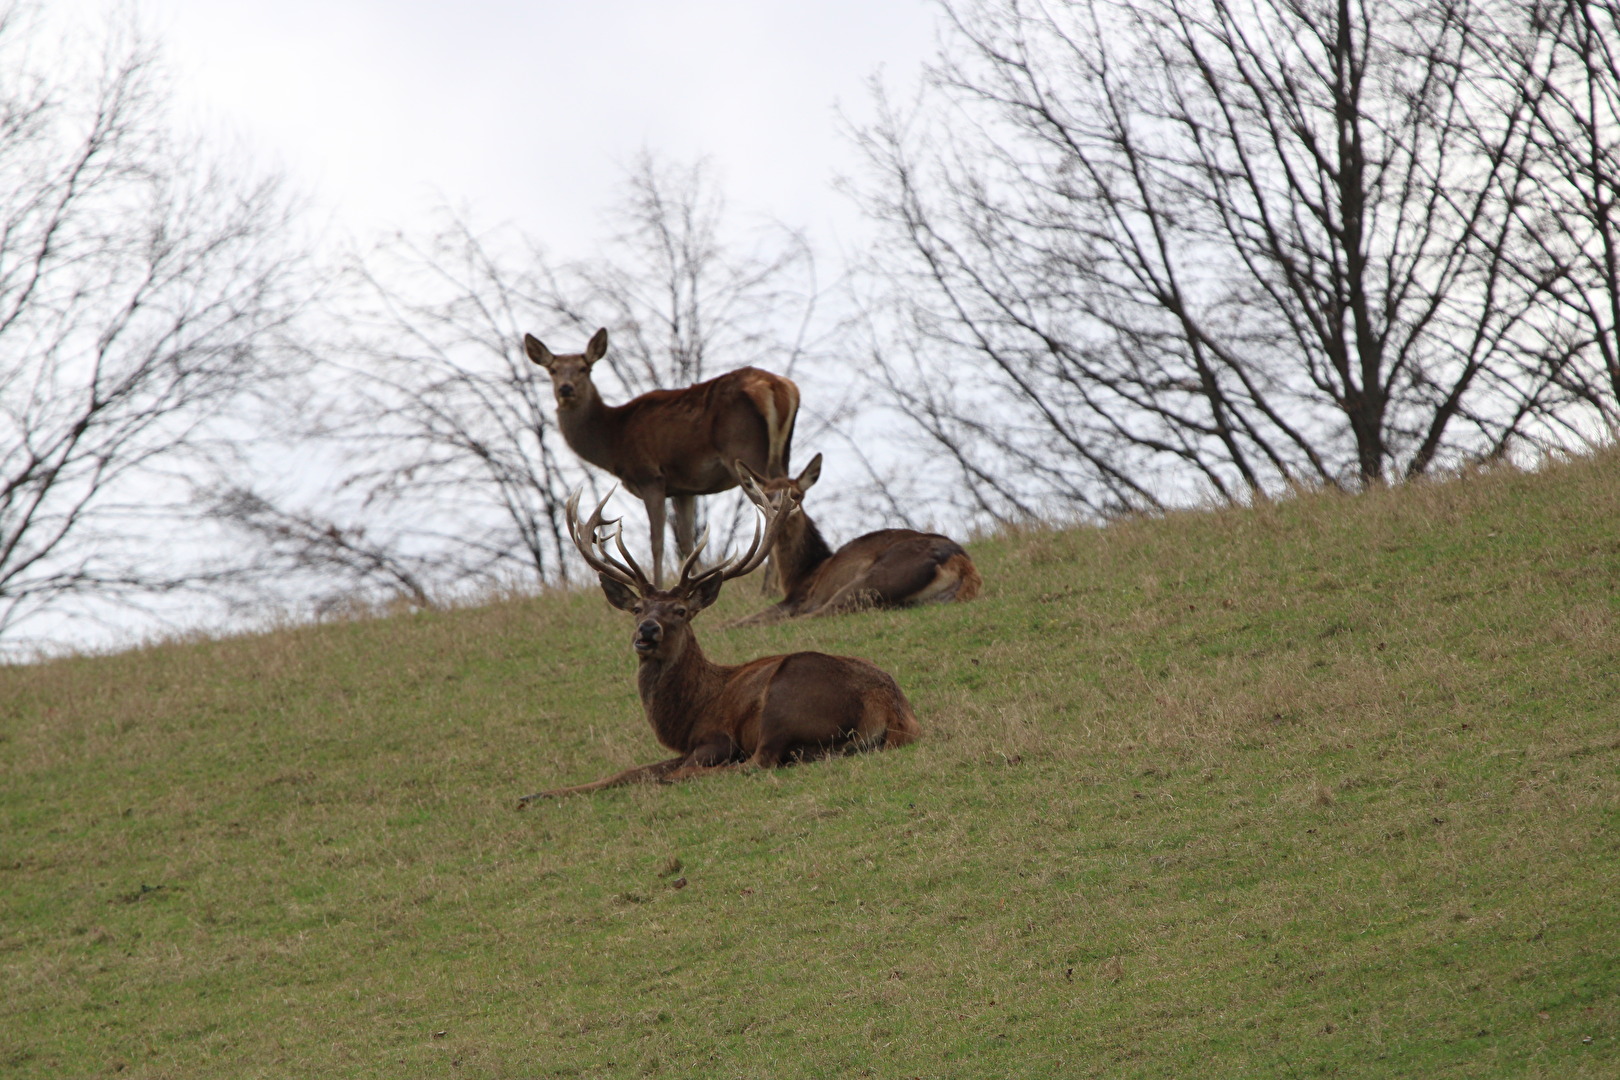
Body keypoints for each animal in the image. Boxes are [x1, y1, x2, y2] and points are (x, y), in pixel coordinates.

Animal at [521, 482, 926, 803]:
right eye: (637, 608)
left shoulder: (715, 738)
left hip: (785, 697)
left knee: (756, 762)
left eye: (681, 610)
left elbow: (668, 769)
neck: (687, 715)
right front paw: (535, 793)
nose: (647, 630)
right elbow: (626, 771)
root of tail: (890, 709)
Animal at [524, 327, 797, 586]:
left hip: (743, 451)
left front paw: (657, 585)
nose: (565, 389)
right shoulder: (684, 488)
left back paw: (770, 586)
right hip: (780, 456)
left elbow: (657, 541)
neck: (614, 439)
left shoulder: (650, 476)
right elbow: (687, 541)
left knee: (773, 506)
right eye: (553, 370)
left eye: (584, 368)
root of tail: (778, 386)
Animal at [732, 453, 978, 625]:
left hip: (874, 579)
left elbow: (736, 622)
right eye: (765, 495)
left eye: (797, 494)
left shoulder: (796, 599)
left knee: (815, 614)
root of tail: (963, 565)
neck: (800, 574)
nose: (777, 508)